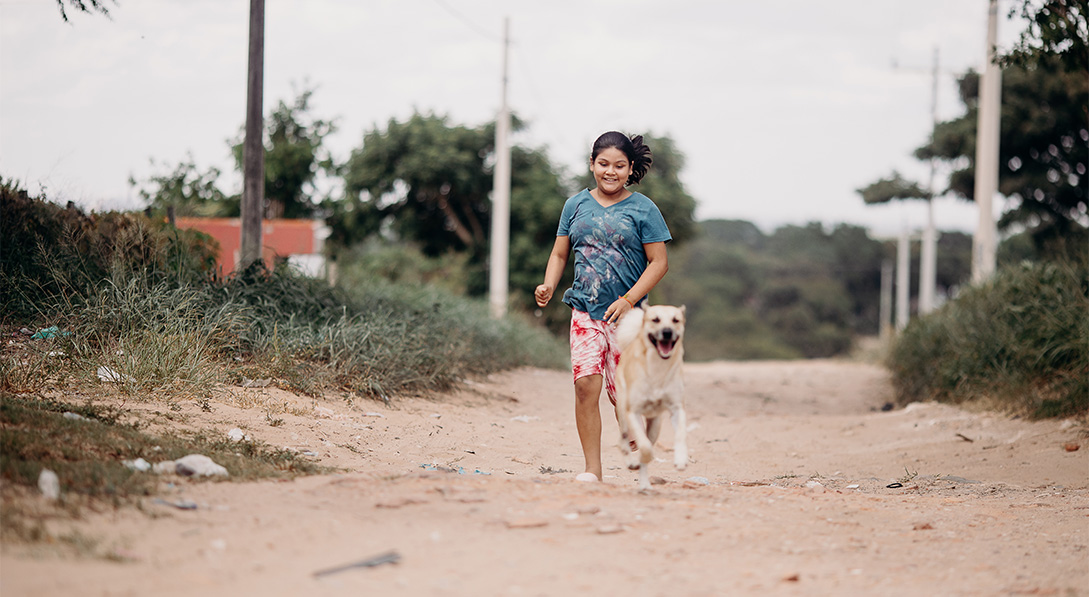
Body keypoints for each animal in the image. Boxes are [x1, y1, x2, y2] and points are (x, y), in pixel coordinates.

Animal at [614, 305, 688, 492]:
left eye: (676, 320)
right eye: (655, 319)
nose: (667, 332)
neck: (658, 368)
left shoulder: (677, 408)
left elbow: (680, 434)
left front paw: (681, 460)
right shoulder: (633, 412)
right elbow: (645, 447)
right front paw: (640, 459)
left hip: (655, 424)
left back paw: (645, 485)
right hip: (624, 415)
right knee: (623, 440)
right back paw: (632, 462)